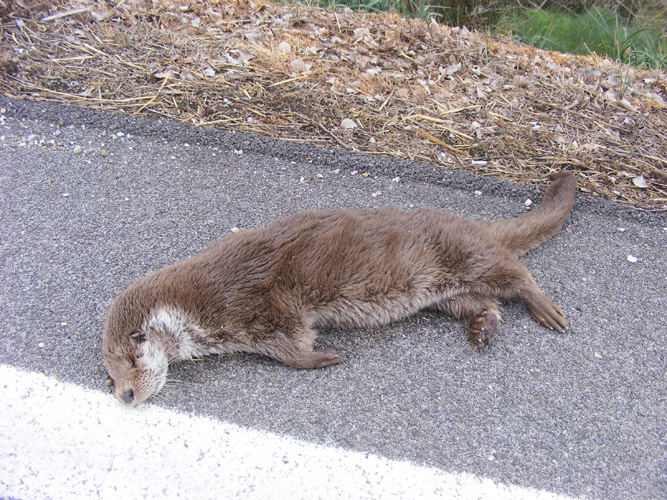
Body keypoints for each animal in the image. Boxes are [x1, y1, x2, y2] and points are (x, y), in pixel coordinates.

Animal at [102, 172, 576, 406]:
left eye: (131, 359)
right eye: (110, 374)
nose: (124, 395)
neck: (201, 304)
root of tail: (472, 225)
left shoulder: (263, 305)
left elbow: (294, 348)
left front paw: (328, 356)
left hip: (468, 253)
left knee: (515, 272)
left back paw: (548, 310)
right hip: (446, 290)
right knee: (486, 300)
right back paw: (482, 328)